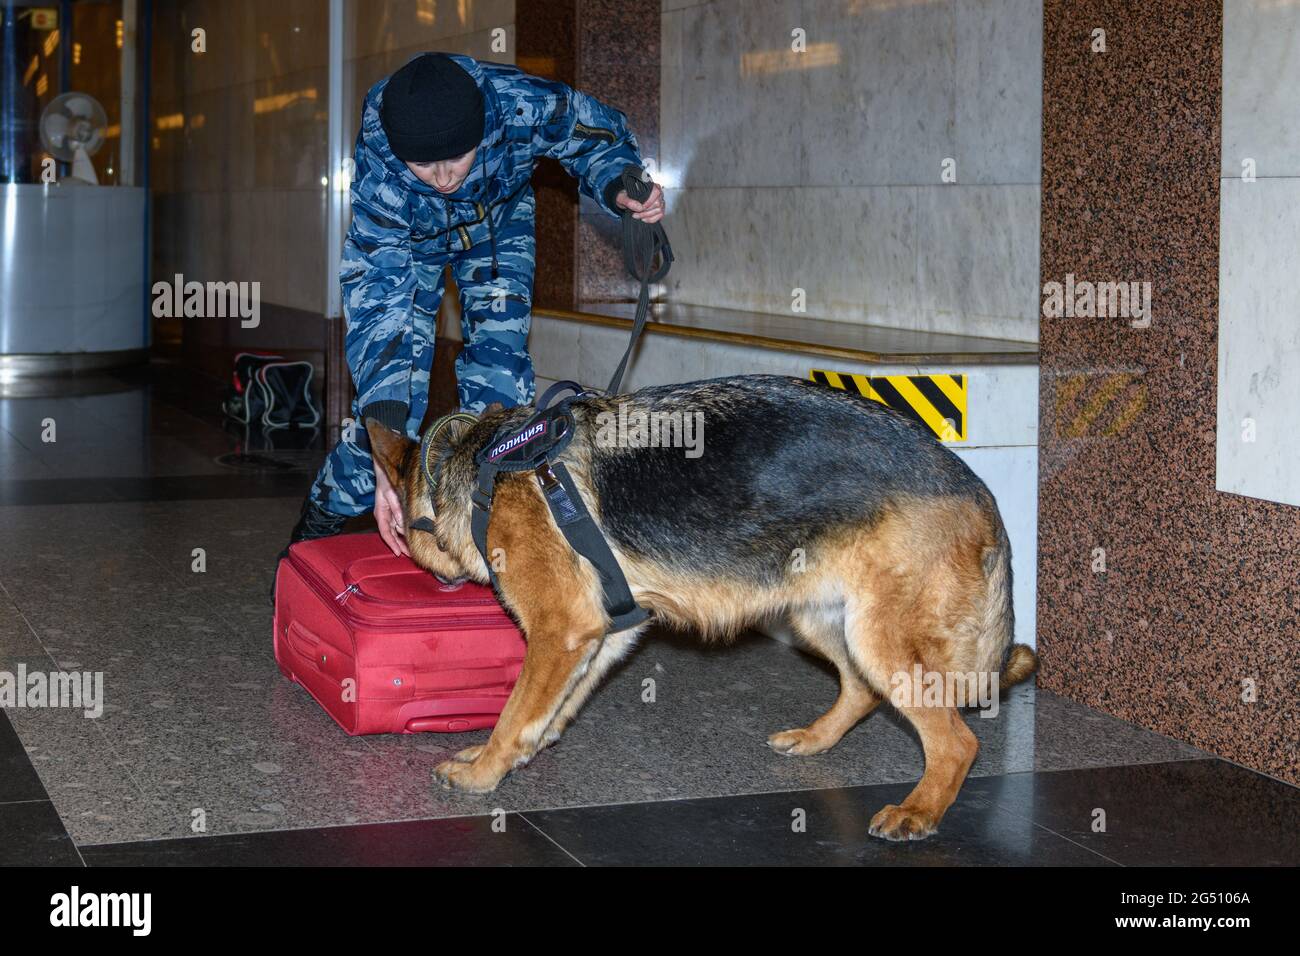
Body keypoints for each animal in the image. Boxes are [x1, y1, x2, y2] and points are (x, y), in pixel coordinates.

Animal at [366, 374, 1034, 837]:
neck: (483, 469)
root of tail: (976, 486)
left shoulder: (562, 629)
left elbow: (514, 713)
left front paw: (484, 772)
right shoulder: (603, 632)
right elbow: (555, 704)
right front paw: (519, 748)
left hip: (878, 637)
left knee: (955, 741)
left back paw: (918, 812)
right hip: (820, 619)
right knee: (862, 689)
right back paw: (815, 740)